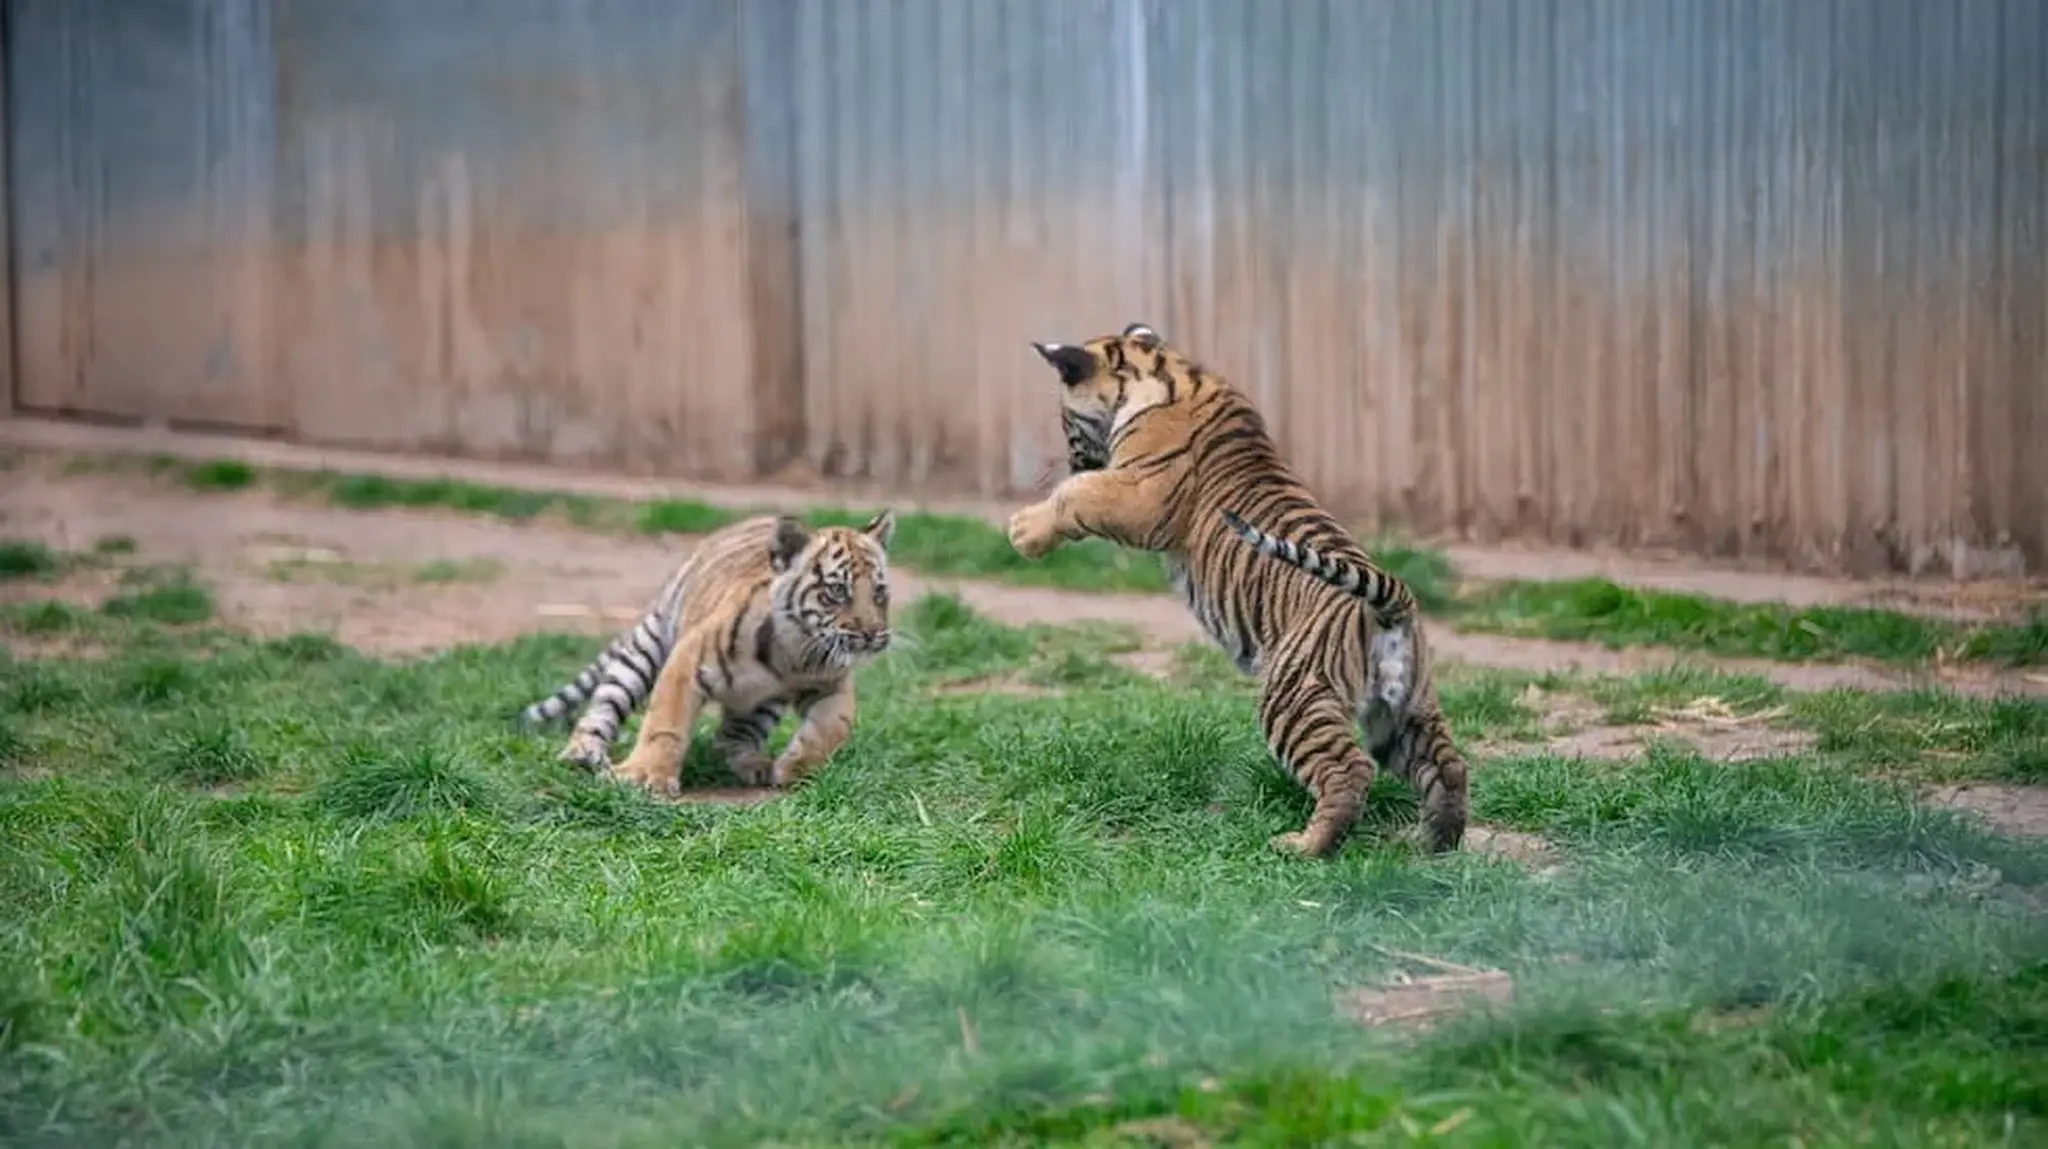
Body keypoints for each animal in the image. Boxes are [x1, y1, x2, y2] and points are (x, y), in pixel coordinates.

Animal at [518, 511, 897, 796]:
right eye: (837, 591)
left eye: (879, 592)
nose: (872, 634)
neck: (792, 653)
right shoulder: (687, 661)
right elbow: (665, 723)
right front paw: (645, 775)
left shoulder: (832, 684)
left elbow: (832, 729)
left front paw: (794, 769)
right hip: (644, 651)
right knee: (604, 705)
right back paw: (582, 753)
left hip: (761, 705)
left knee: (729, 739)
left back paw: (753, 765)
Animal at [1006, 322, 1467, 858]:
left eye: (1065, 421)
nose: (1074, 459)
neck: (1167, 371)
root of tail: (1395, 601)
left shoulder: (1140, 496)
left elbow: (1077, 498)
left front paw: (1025, 531)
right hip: (1404, 712)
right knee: (1449, 765)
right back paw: (1436, 841)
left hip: (1295, 696)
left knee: (1348, 771)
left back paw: (1305, 846)